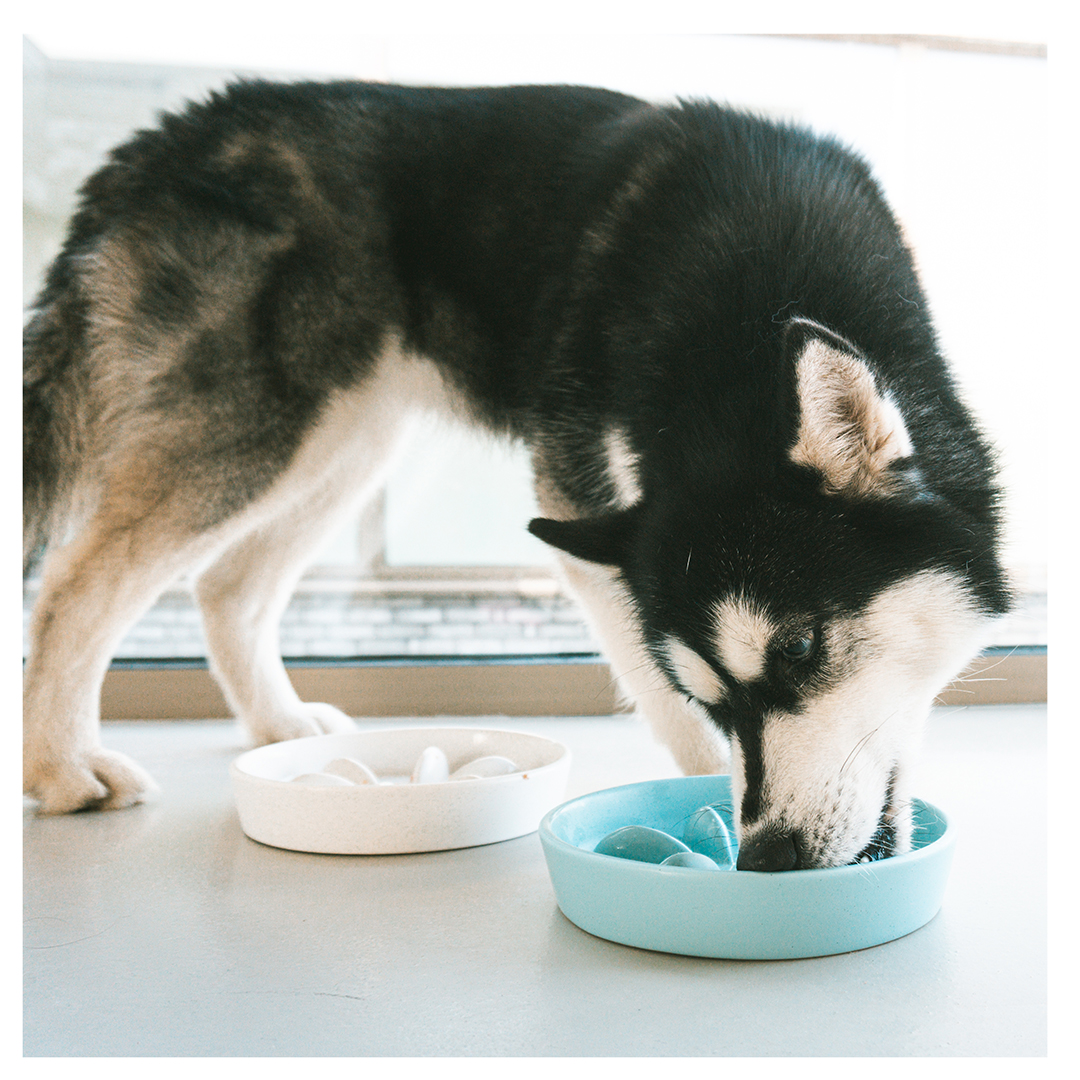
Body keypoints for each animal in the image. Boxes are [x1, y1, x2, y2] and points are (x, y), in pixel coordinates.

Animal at [23, 79, 1010, 864]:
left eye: (800, 649)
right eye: (712, 698)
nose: (768, 860)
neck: (759, 293)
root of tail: (171, 136)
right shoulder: (575, 495)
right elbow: (664, 704)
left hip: (342, 442)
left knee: (228, 585)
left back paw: (277, 725)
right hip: (259, 432)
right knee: (75, 586)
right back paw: (63, 769)